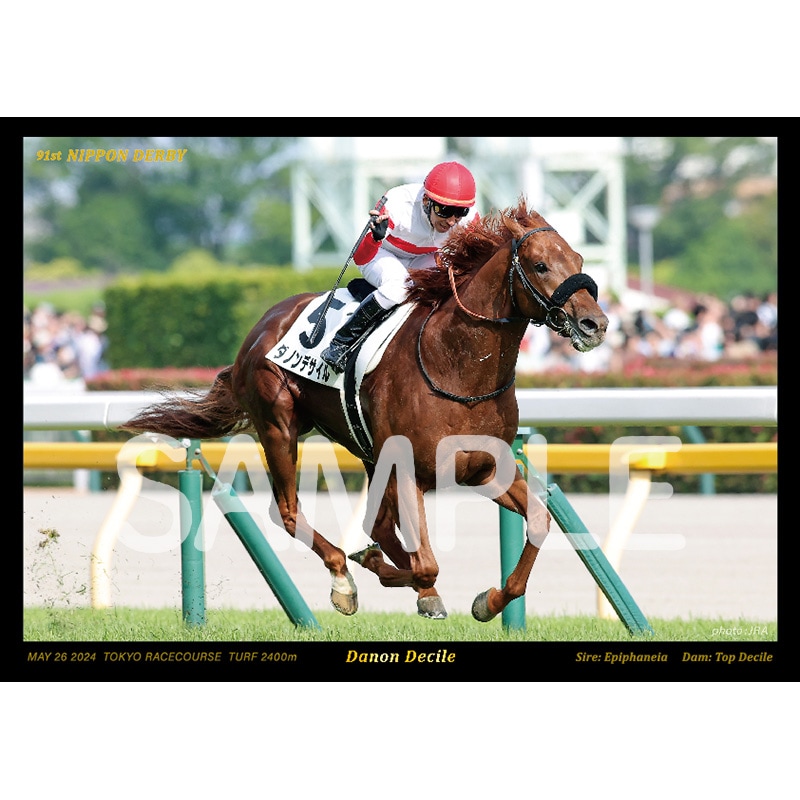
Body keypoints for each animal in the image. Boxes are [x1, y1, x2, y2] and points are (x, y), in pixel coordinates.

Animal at [122, 199, 608, 622]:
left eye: (579, 259)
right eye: (541, 265)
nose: (596, 324)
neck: (457, 367)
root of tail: (262, 327)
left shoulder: (486, 467)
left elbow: (538, 523)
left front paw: (487, 602)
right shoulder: (408, 467)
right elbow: (425, 563)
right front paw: (406, 584)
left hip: (368, 453)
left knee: (380, 525)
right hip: (279, 425)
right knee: (289, 511)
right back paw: (345, 578)